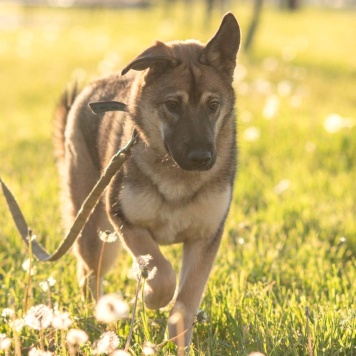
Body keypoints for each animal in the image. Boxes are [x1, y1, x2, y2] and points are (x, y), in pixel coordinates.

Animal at [52, 12, 241, 346]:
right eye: (172, 105)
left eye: (213, 105)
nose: (202, 159)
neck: (177, 177)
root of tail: (93, 86)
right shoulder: (125, 220)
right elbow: (161, 272)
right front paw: (152, 297)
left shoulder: (204, 239)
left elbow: (184, 303)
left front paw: (179, 345)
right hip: (96, 233)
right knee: (89, 274)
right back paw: (98, 319)